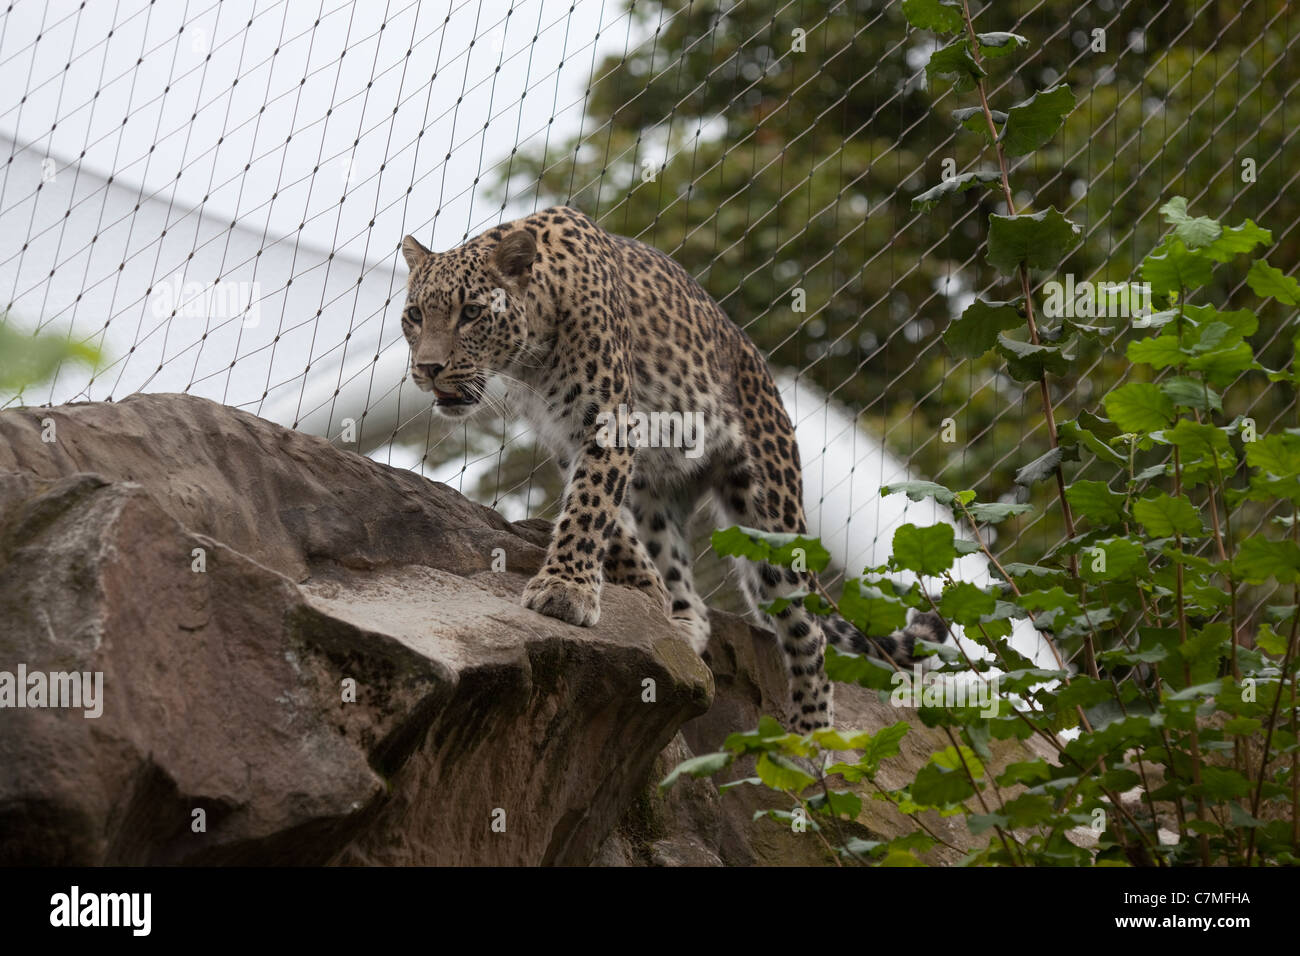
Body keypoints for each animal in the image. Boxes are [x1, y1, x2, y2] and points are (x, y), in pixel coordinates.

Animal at [399, 205, 946, 732]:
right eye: (414, 315)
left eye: (472, 313)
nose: (427, 369)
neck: (530, 354)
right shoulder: (568, 440)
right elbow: (607, 520)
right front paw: (647, 598)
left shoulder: (609, 424)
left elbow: (588, 507)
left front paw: (564, 590)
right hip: (661, 496)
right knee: (692, 587)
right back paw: (681, 624)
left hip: (771, 514)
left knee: (809, 635)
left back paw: (808, 743)